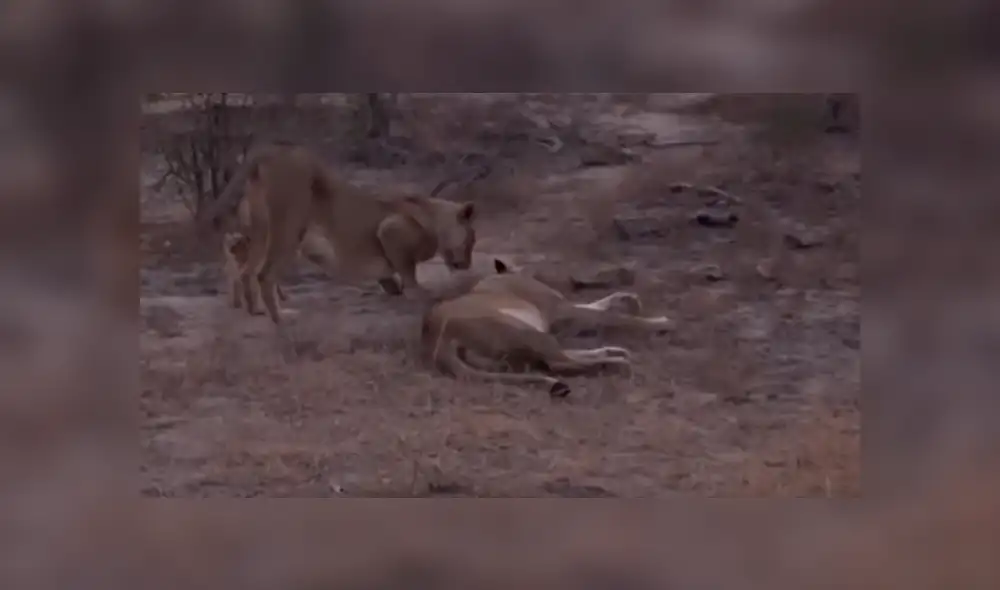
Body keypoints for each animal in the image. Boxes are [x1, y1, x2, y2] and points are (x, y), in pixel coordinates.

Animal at [195, 142, 477, 324]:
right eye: (472, 242)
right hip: (290, 227)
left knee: (246, 273)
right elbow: (409, 273)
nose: (466, 264)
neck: (434, 216)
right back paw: (282, 318)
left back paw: (255, 312)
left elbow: (391, 279)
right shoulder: (390, 229)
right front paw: (420, 294)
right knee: (264, 275)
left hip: (260, 231)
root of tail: (270, 151)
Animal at [421, 258, 673, 398]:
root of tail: (436, 348)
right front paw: (660, 322)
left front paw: (627, 298)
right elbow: (612, 316)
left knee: (558, 359)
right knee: (559, 362)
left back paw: (612, 352)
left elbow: (596, 305)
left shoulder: (559, 313)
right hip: (522, 330)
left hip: (526, 340)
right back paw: (616, 361)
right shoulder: (559, 309)